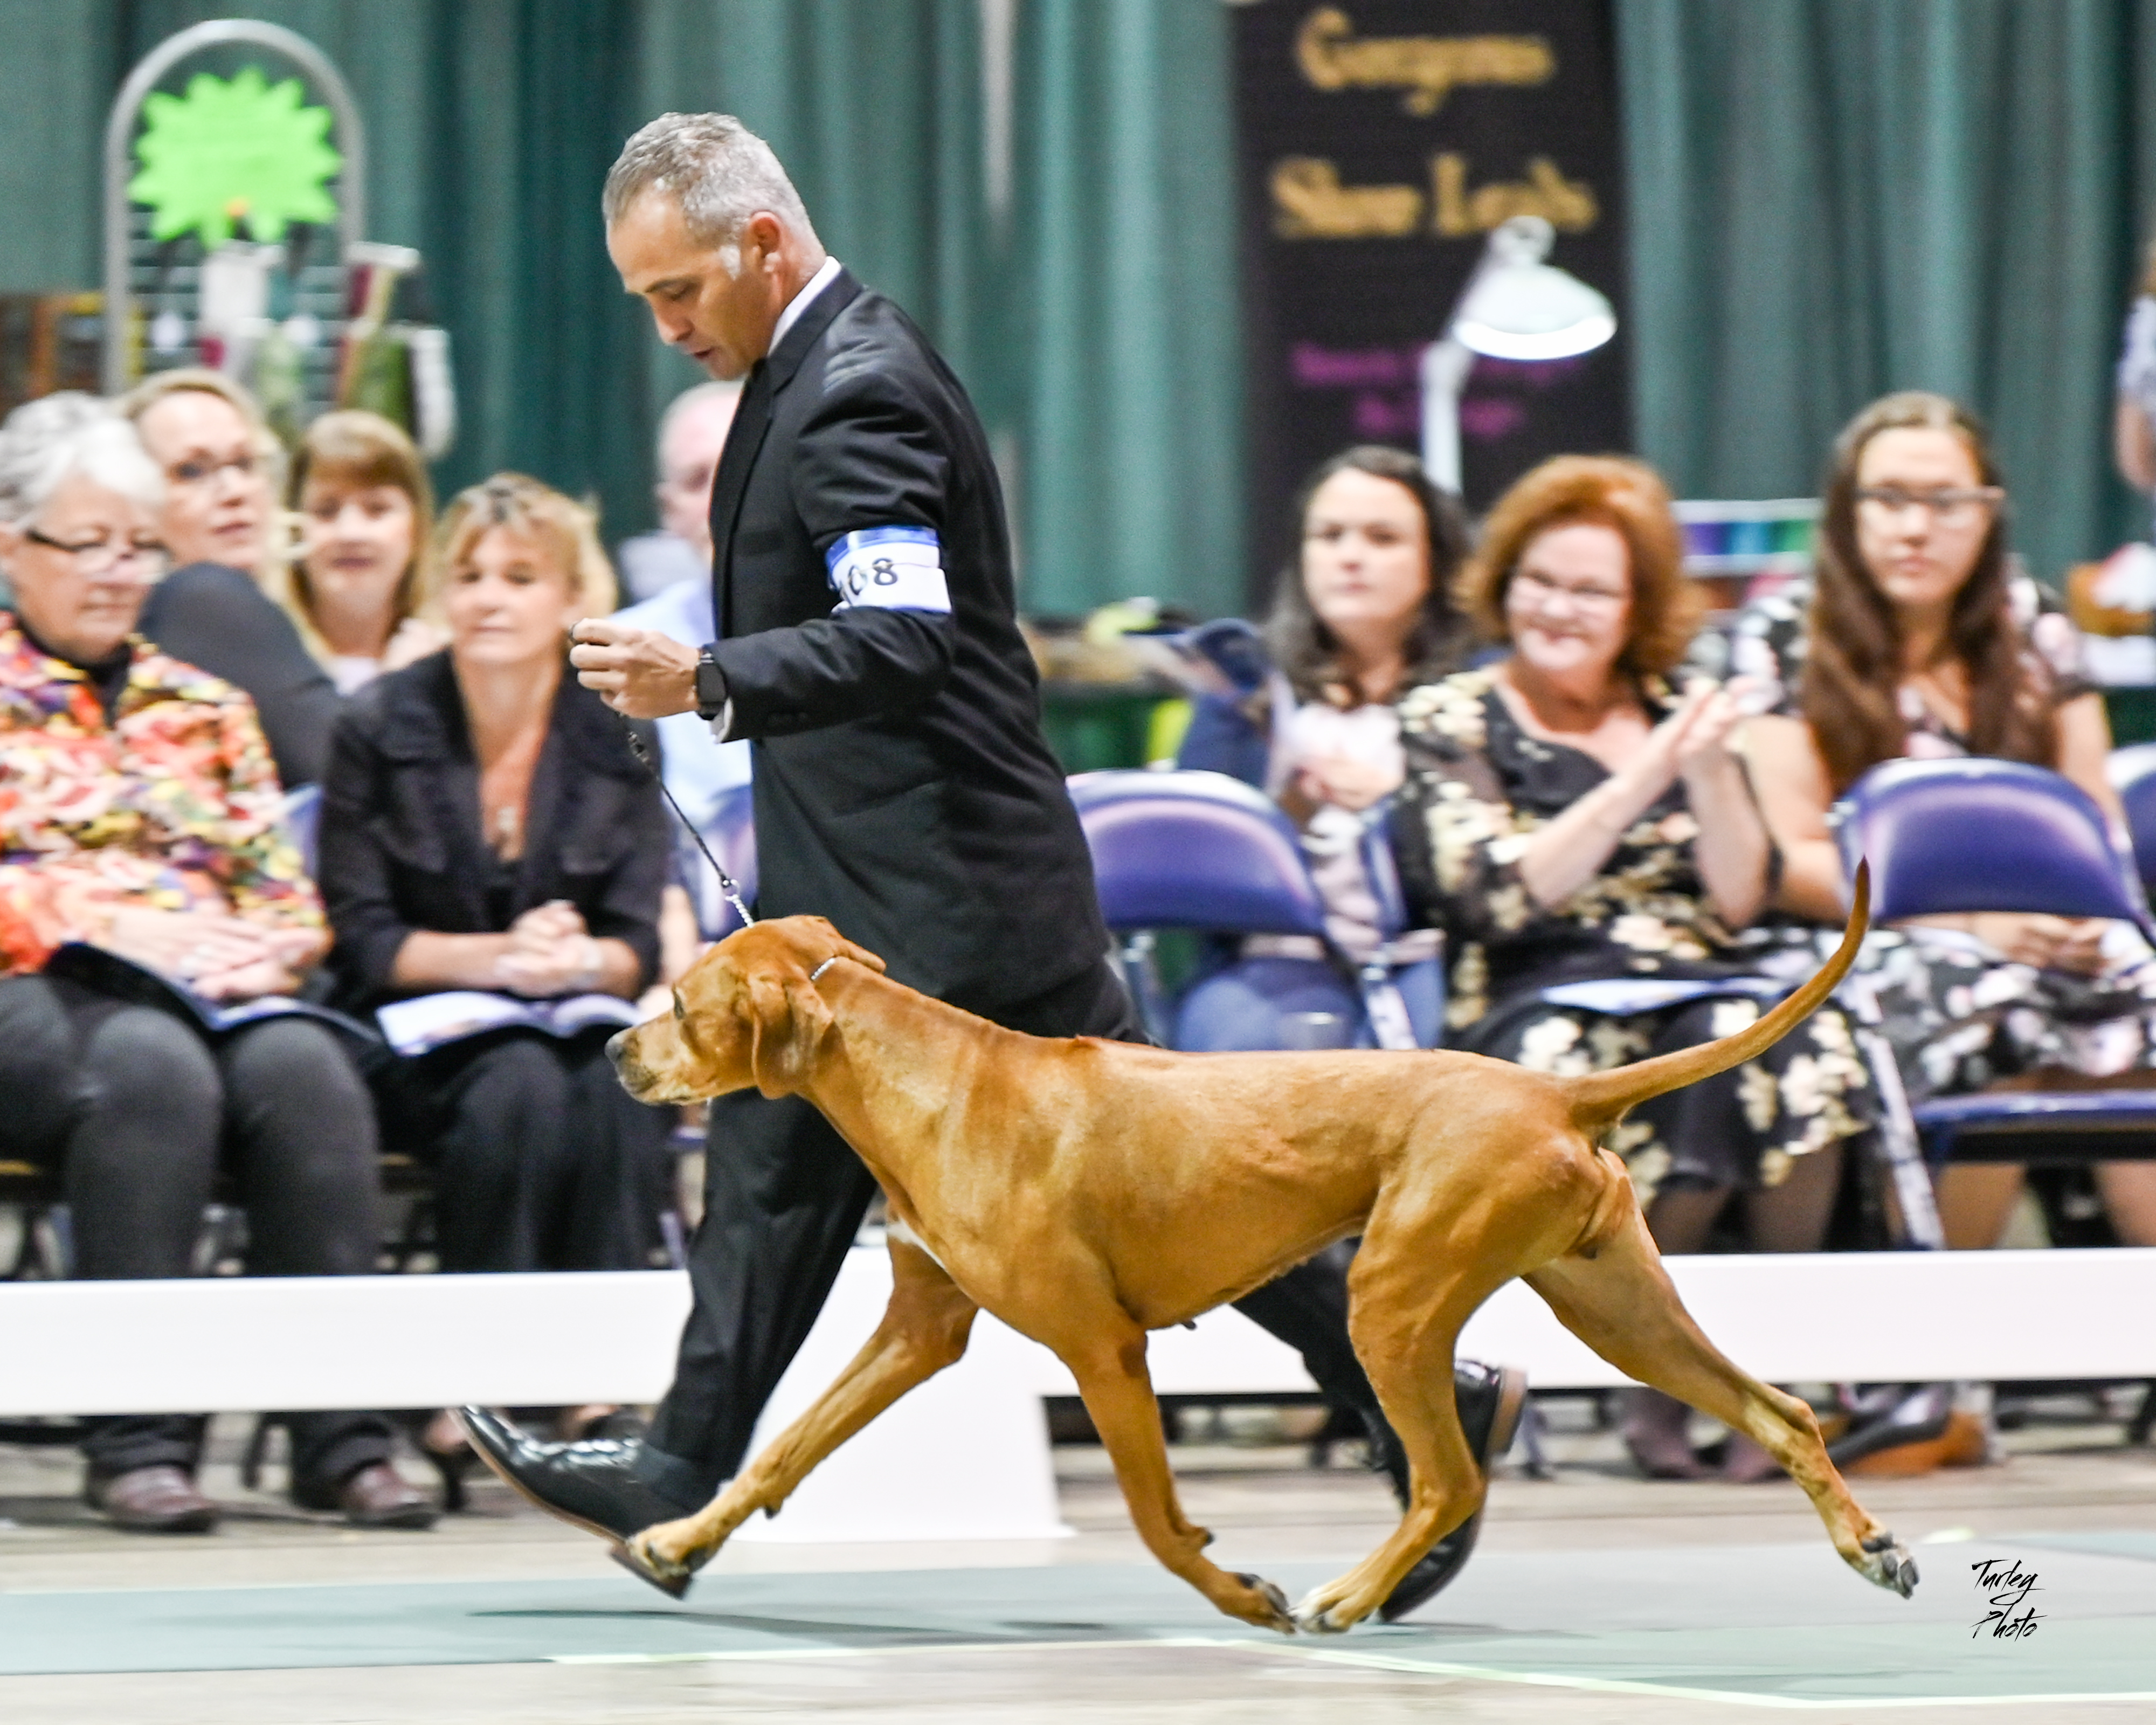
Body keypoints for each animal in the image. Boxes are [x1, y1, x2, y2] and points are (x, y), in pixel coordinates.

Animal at [604, 862, 1906, 1630]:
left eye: (677, 1004)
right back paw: (1869, 1544)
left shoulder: (1101, 1348)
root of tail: (1552, 1089)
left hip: (1389, 1301)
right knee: (1781, 1410)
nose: (615, 1050)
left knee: (1449, 1474)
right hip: (1615, 1308)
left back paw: (1348, 1594)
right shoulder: (921, 1328)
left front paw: (1239, 1592)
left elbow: (1152, 1519)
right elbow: (781, 1450)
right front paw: (670, 1540)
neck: (917, 1071)